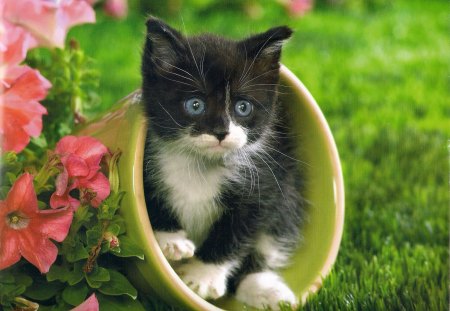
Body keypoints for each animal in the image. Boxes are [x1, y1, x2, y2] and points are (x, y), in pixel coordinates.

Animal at [142, 17, 304, 311]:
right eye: (195, 105)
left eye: (243, 107)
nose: (221, 132)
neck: (200, 163)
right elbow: (149, 197)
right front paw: (172, 241)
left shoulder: (263, 183)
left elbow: (236, 233)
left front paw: (202, 277)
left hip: (287, 192)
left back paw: (266, 290)